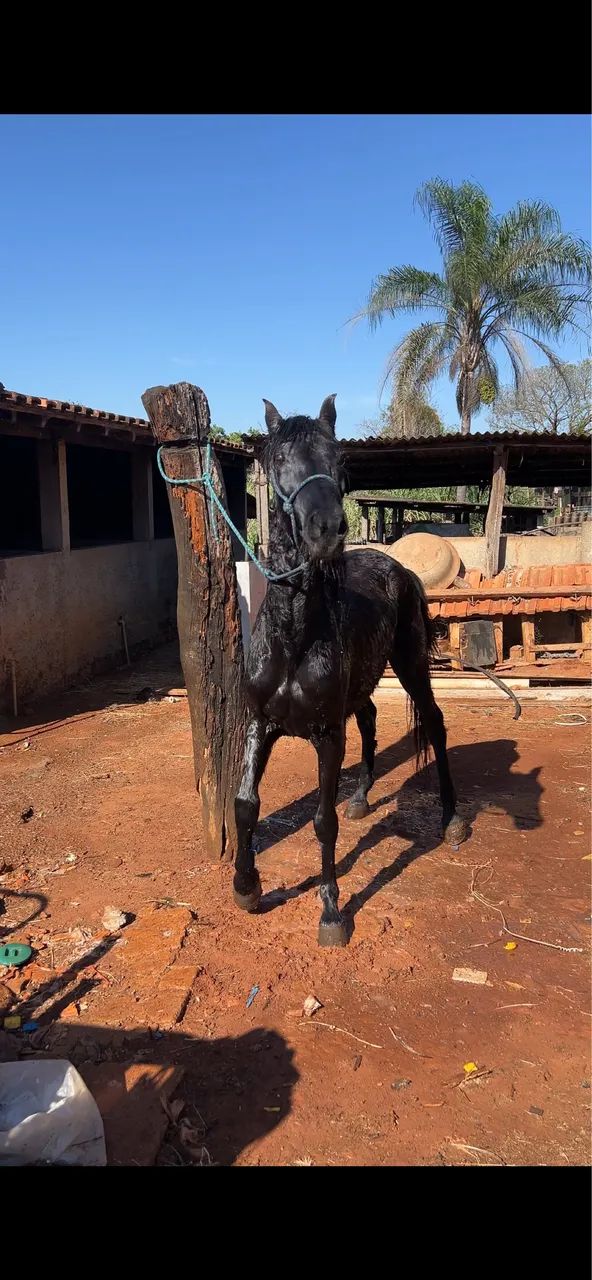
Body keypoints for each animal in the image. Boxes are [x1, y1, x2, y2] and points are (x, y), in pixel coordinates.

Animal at [233, 395, 467, 946]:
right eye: (278, 460)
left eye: (340, 461)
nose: (327, 530)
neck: (294, 638)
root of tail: (399, 569)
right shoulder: (259, 724)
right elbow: (246, 804)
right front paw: (248, 888)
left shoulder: (326, 736)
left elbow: (323, 821)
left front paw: (331, 912)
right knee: (370, 719)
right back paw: (361, 797)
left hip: (411, 665)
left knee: (435, 724)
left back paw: (450, 819)